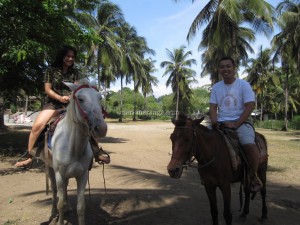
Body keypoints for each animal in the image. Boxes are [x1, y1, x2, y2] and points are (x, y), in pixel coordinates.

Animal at [38, 78, 106, 224]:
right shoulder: (59, 175)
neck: (74, 148)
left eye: (100, 98)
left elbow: (81, 207)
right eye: (80, 99)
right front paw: (59, 220)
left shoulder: (82, 175)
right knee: (54, 191)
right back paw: (52, 214)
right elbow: (60, 203)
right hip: (49, 168)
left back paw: (68, 207)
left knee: (64, 189)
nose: (102, 128)